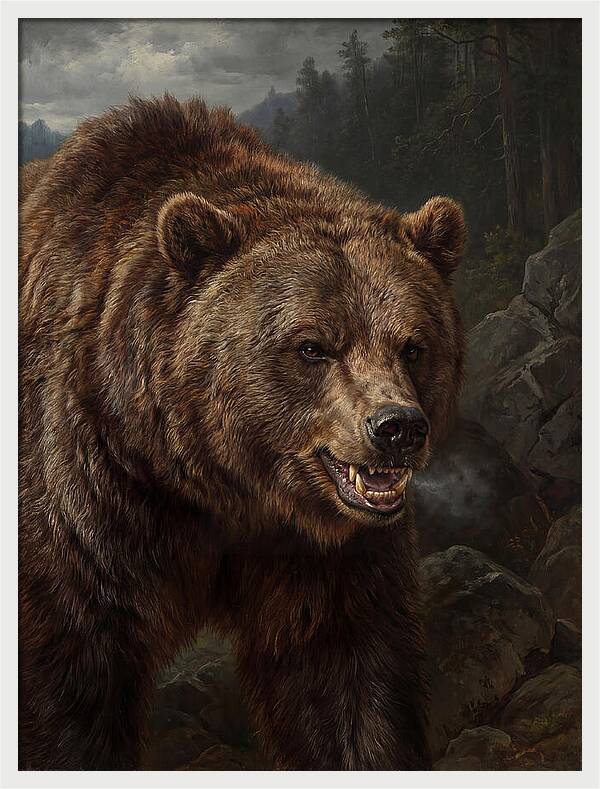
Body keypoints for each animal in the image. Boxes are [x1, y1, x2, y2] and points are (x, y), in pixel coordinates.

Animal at [19, 95, 466, 770]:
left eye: (413, 344)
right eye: (313, 346)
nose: (397, 428)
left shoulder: (323, 556)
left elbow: (347, 683)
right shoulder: (85, 499)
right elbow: (69, 684)